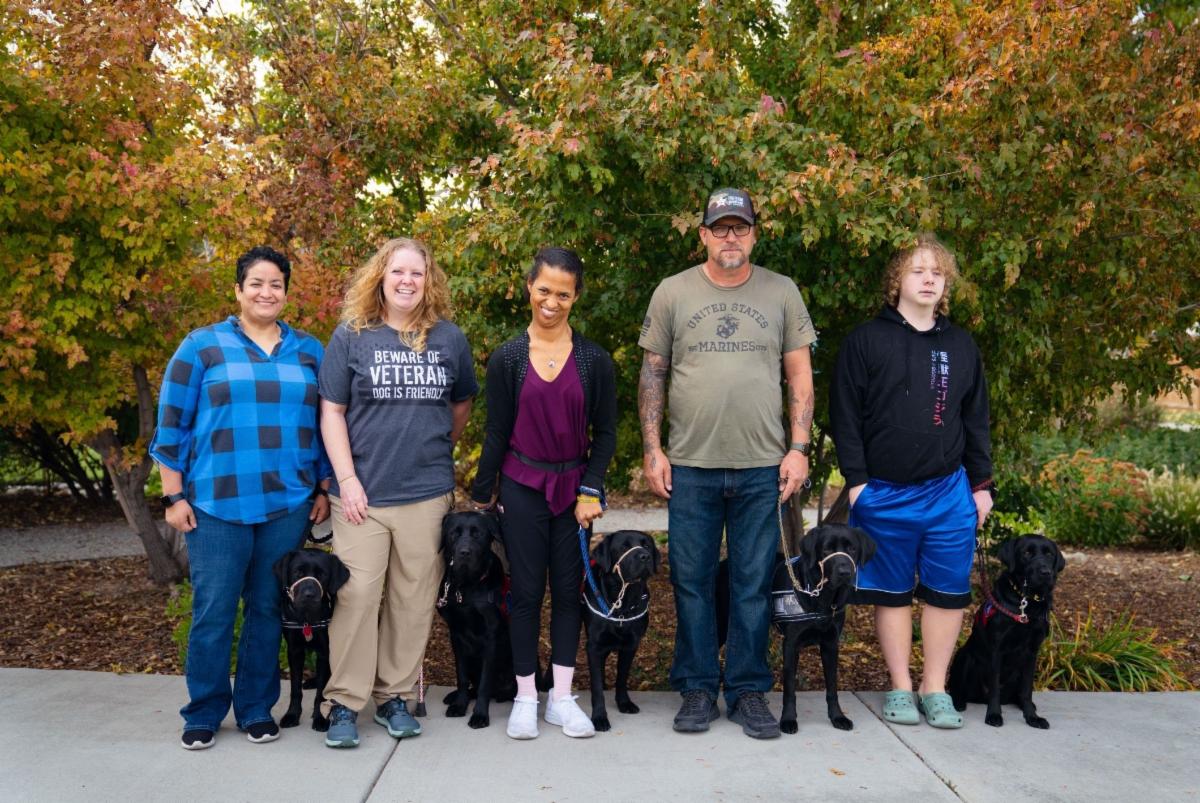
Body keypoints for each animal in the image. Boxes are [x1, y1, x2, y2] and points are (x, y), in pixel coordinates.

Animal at [273, 547, 350, 731]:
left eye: (322, 574)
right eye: (297, 573)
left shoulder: (325, 652)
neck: (307, 618)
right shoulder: (294, 651)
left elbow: (321, 692)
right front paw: (292, 715)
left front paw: (320, 718)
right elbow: (295, 688)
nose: (309, 595)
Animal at [436, 510, 517, 728]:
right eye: (454, 534)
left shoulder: (491, 638)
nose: (464, 552)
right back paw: (454, 697)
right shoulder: (456, 635)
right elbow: (461, 676)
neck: (467, 586)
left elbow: (484, 683)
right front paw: (459, 705)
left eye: (477, 534)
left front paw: (480, 715)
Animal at [580, 529, 660, 732]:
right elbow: (596, 687)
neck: (623, 604)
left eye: (646, 545)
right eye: (624, 547)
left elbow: (622, 677)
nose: (645, 556)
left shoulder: (631, 645)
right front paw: (599, 717)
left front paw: (624, 703)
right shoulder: (594, 645)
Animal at [716, 523, 876, 732]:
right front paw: (788, 719)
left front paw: (837, 717)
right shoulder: (791, 645)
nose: (844, 572)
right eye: (826, 549)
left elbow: (832, 687)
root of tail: (724, 564)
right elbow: (790, 688)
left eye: (852, 549)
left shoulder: (831, 645)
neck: (822, 597)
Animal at [948, 534, 1065, 728]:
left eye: (1049, 554)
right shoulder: (997, 649)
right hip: (964, 655)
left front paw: (1032, 717)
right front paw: (994, 715)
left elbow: (1027, 690)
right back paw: (958, 703)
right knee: (958, 688)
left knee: (1019, 695)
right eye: (1027, 553)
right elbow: (994, 687)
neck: (1026, 603)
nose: (1046, 572)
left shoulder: (1032, 652)